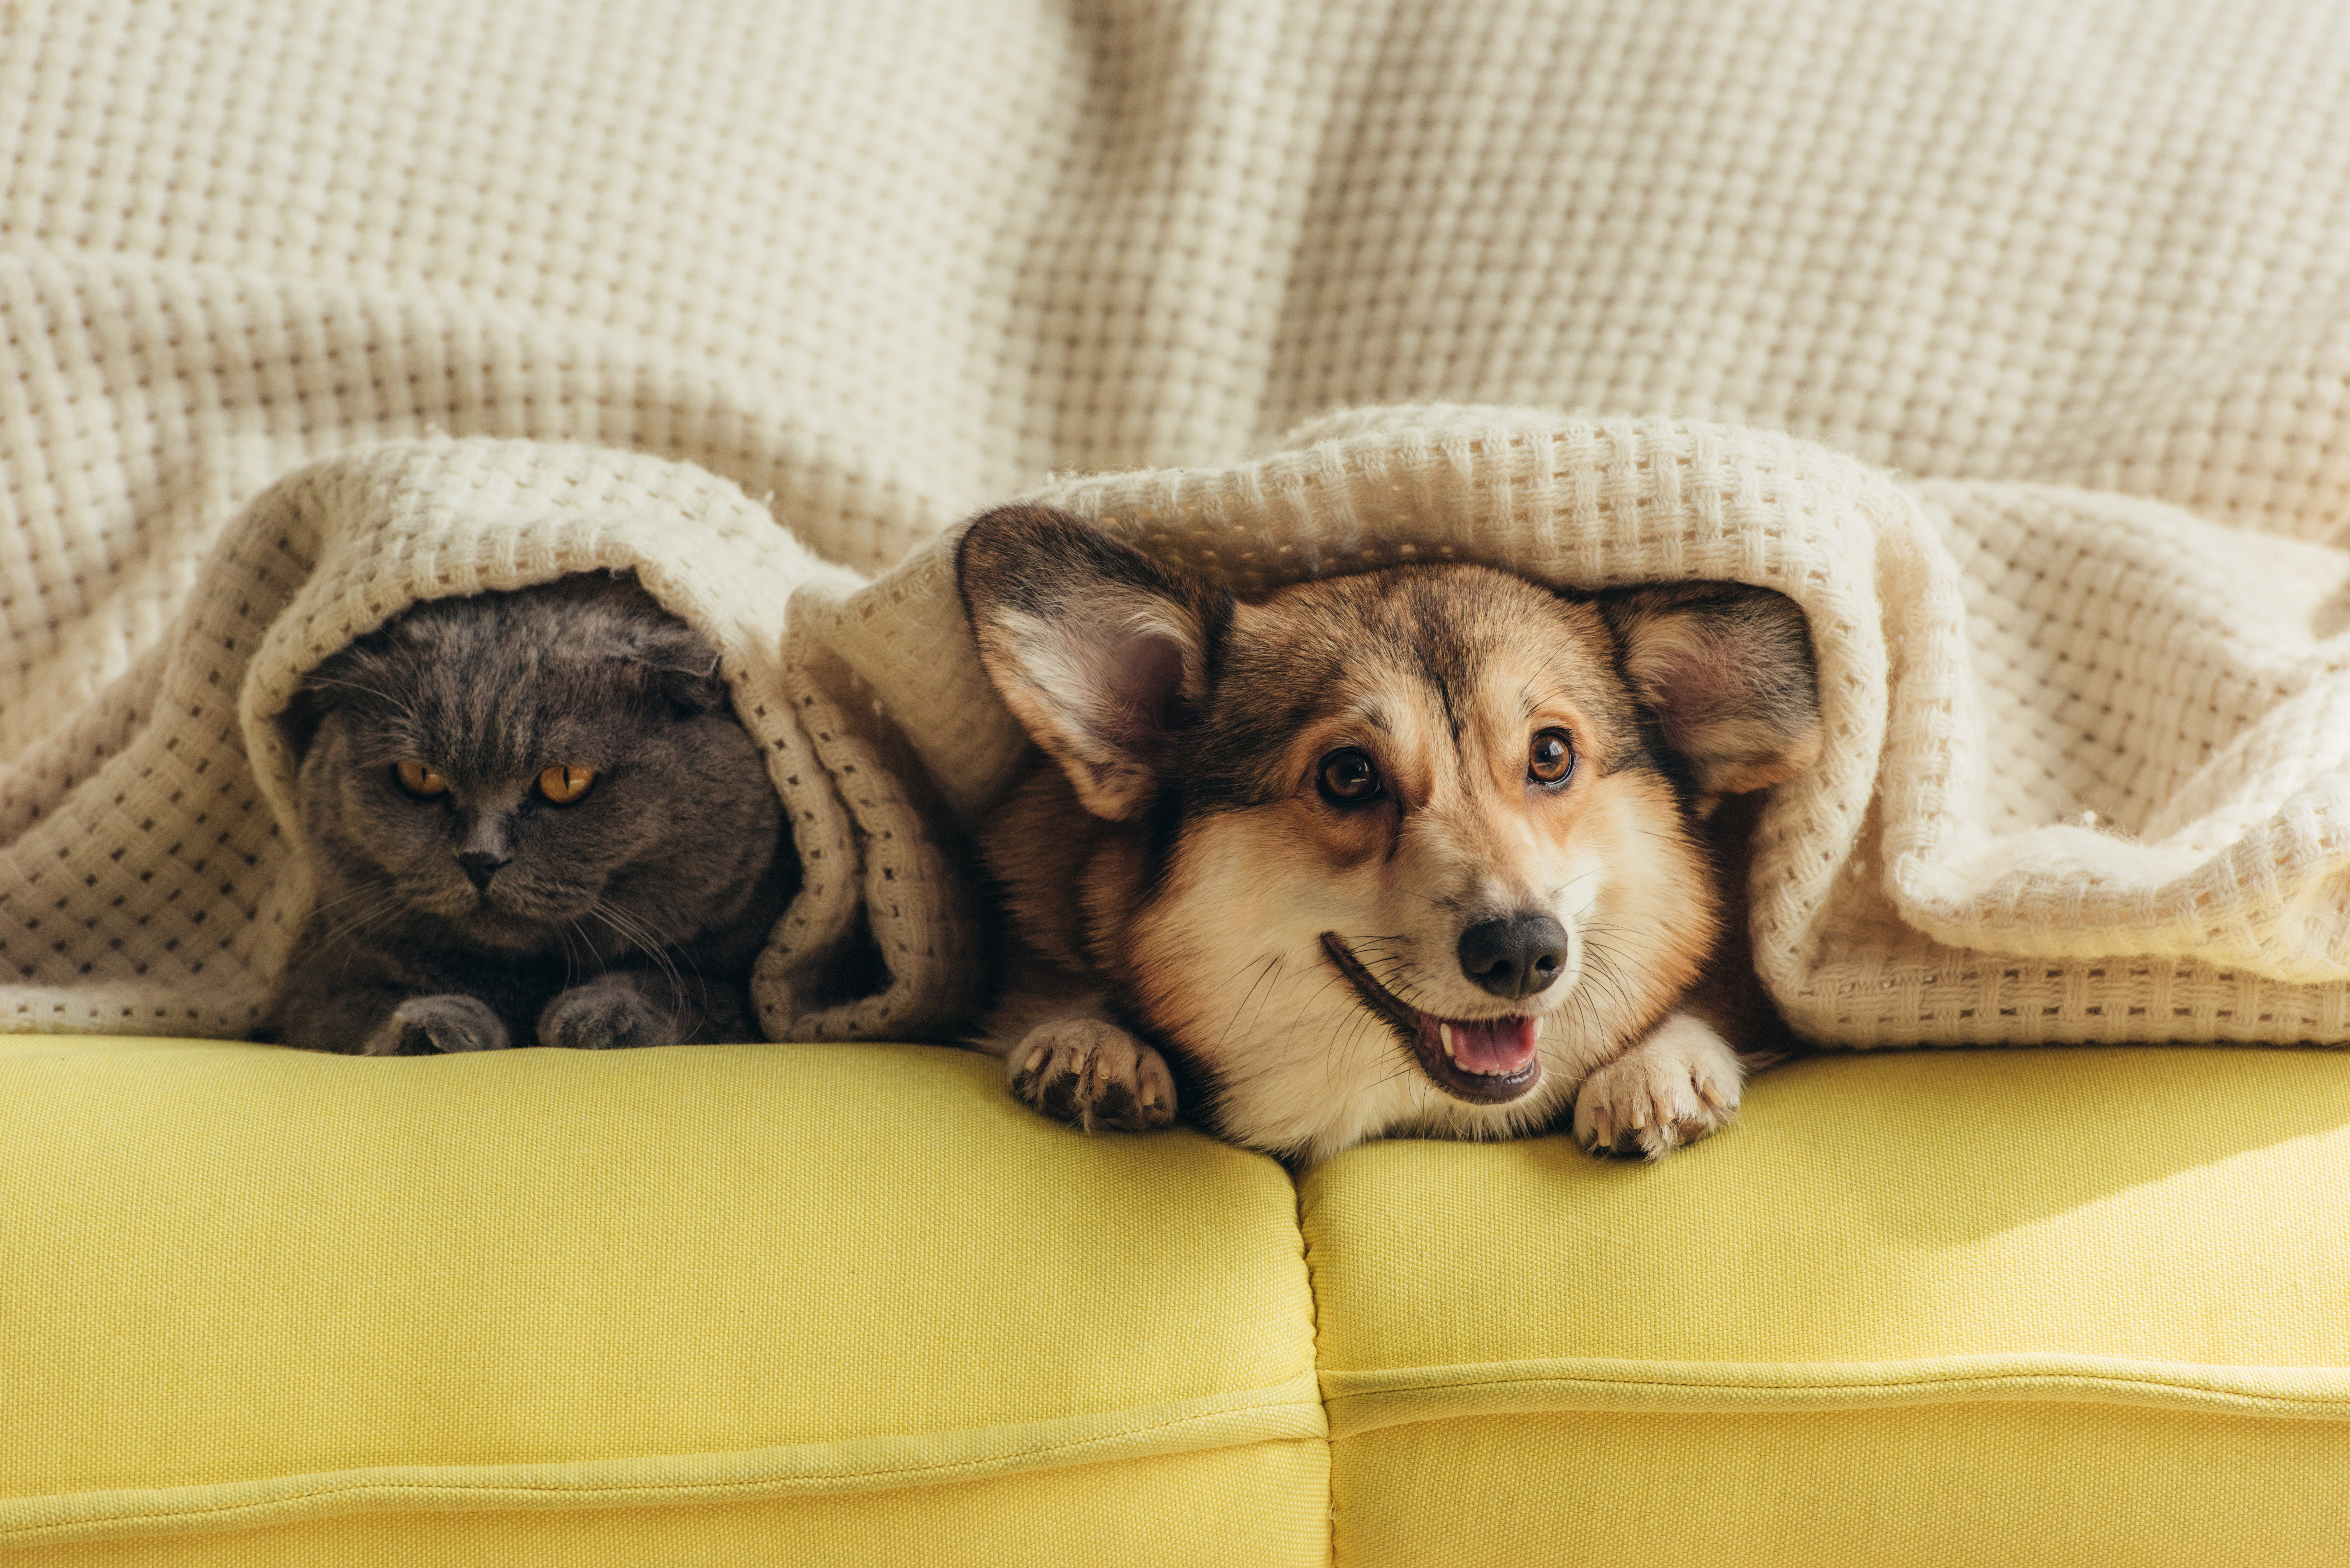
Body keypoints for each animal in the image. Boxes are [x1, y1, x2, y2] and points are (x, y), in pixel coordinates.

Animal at [275, 573, 799, 1053]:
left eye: (566, 779)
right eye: (419, 776)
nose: (480, 859)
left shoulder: (755, 996)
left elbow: (693, 991)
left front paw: (603, 1017)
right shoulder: (315, 984)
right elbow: (361, 1005)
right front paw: (436, 1026)